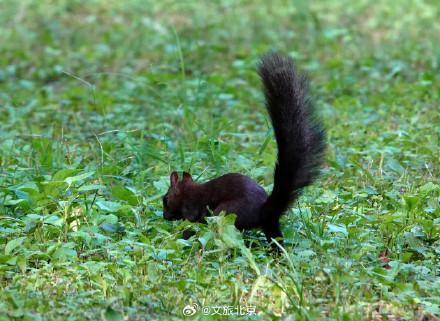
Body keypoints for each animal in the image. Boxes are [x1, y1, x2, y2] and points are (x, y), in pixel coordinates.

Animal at [162, 52, 326, 244]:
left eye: (165, 199)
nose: (165, 216)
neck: (188, 191)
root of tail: (264, 211)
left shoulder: (192, 208)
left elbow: (193, 223)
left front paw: (183, 235)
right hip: (269, 227)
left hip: (226, 214)